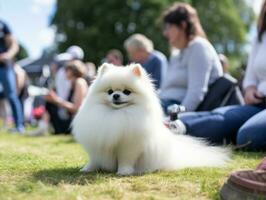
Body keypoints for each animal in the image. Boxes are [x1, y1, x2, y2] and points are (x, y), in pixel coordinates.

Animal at [71, 62, 230, 175]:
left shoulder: (130, 145)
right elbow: (94, 159)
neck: (117, 114)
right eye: (109, 91)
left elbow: (125, 160)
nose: (116, 95)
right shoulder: (96, 142)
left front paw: (124, 172)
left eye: (127, 92)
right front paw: (87, 169)